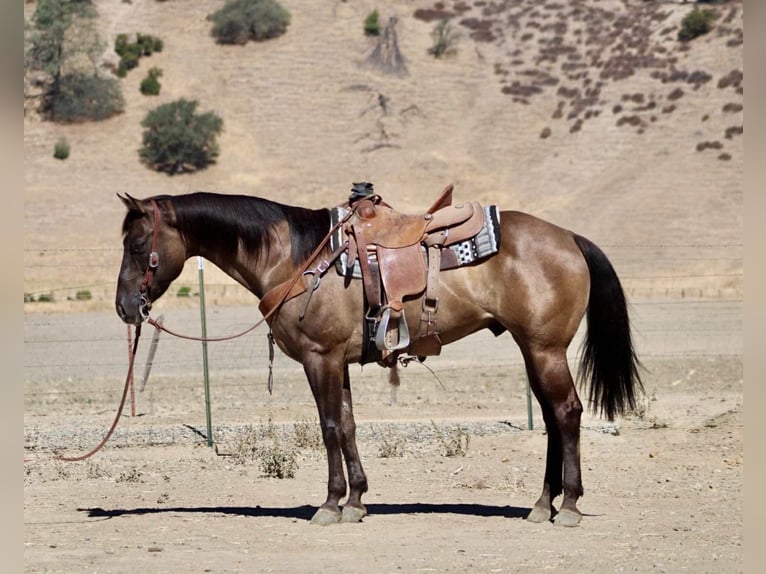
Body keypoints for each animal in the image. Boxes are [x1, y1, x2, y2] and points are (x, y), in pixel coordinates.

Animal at [115, 188, 642, 527]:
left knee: (567, 413)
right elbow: (347, 426)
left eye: (137, 244)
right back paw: (542, 504)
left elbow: (329, 428)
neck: (296, 258)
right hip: (533, 349)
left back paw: (568, 506)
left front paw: (330, 505)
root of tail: (570, 238)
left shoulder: (320, 358)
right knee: (553, 418)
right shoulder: (338, 362)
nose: (125, 307)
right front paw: (356, 500)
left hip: (544, 348)